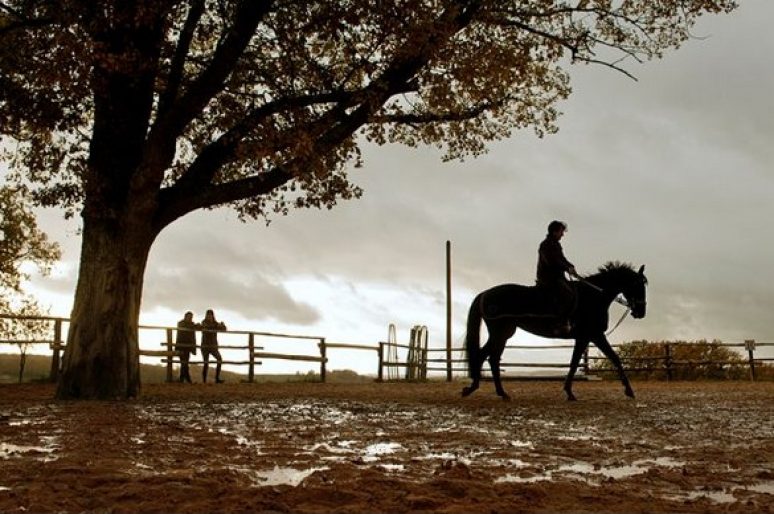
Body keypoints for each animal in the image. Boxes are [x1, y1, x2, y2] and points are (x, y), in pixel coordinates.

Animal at [464, 260, 644, 400]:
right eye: (637, 284)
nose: (640, 312)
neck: (592, 297)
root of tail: (485, 293)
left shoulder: (584, 338)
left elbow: (574, 362)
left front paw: (569, 392)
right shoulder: (595, 335)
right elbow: (615, 358)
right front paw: (629, 391)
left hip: (503, 334)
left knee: (490, 358)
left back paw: (498, 392)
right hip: (500, 333)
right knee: (485, 357)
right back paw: (475, 388)